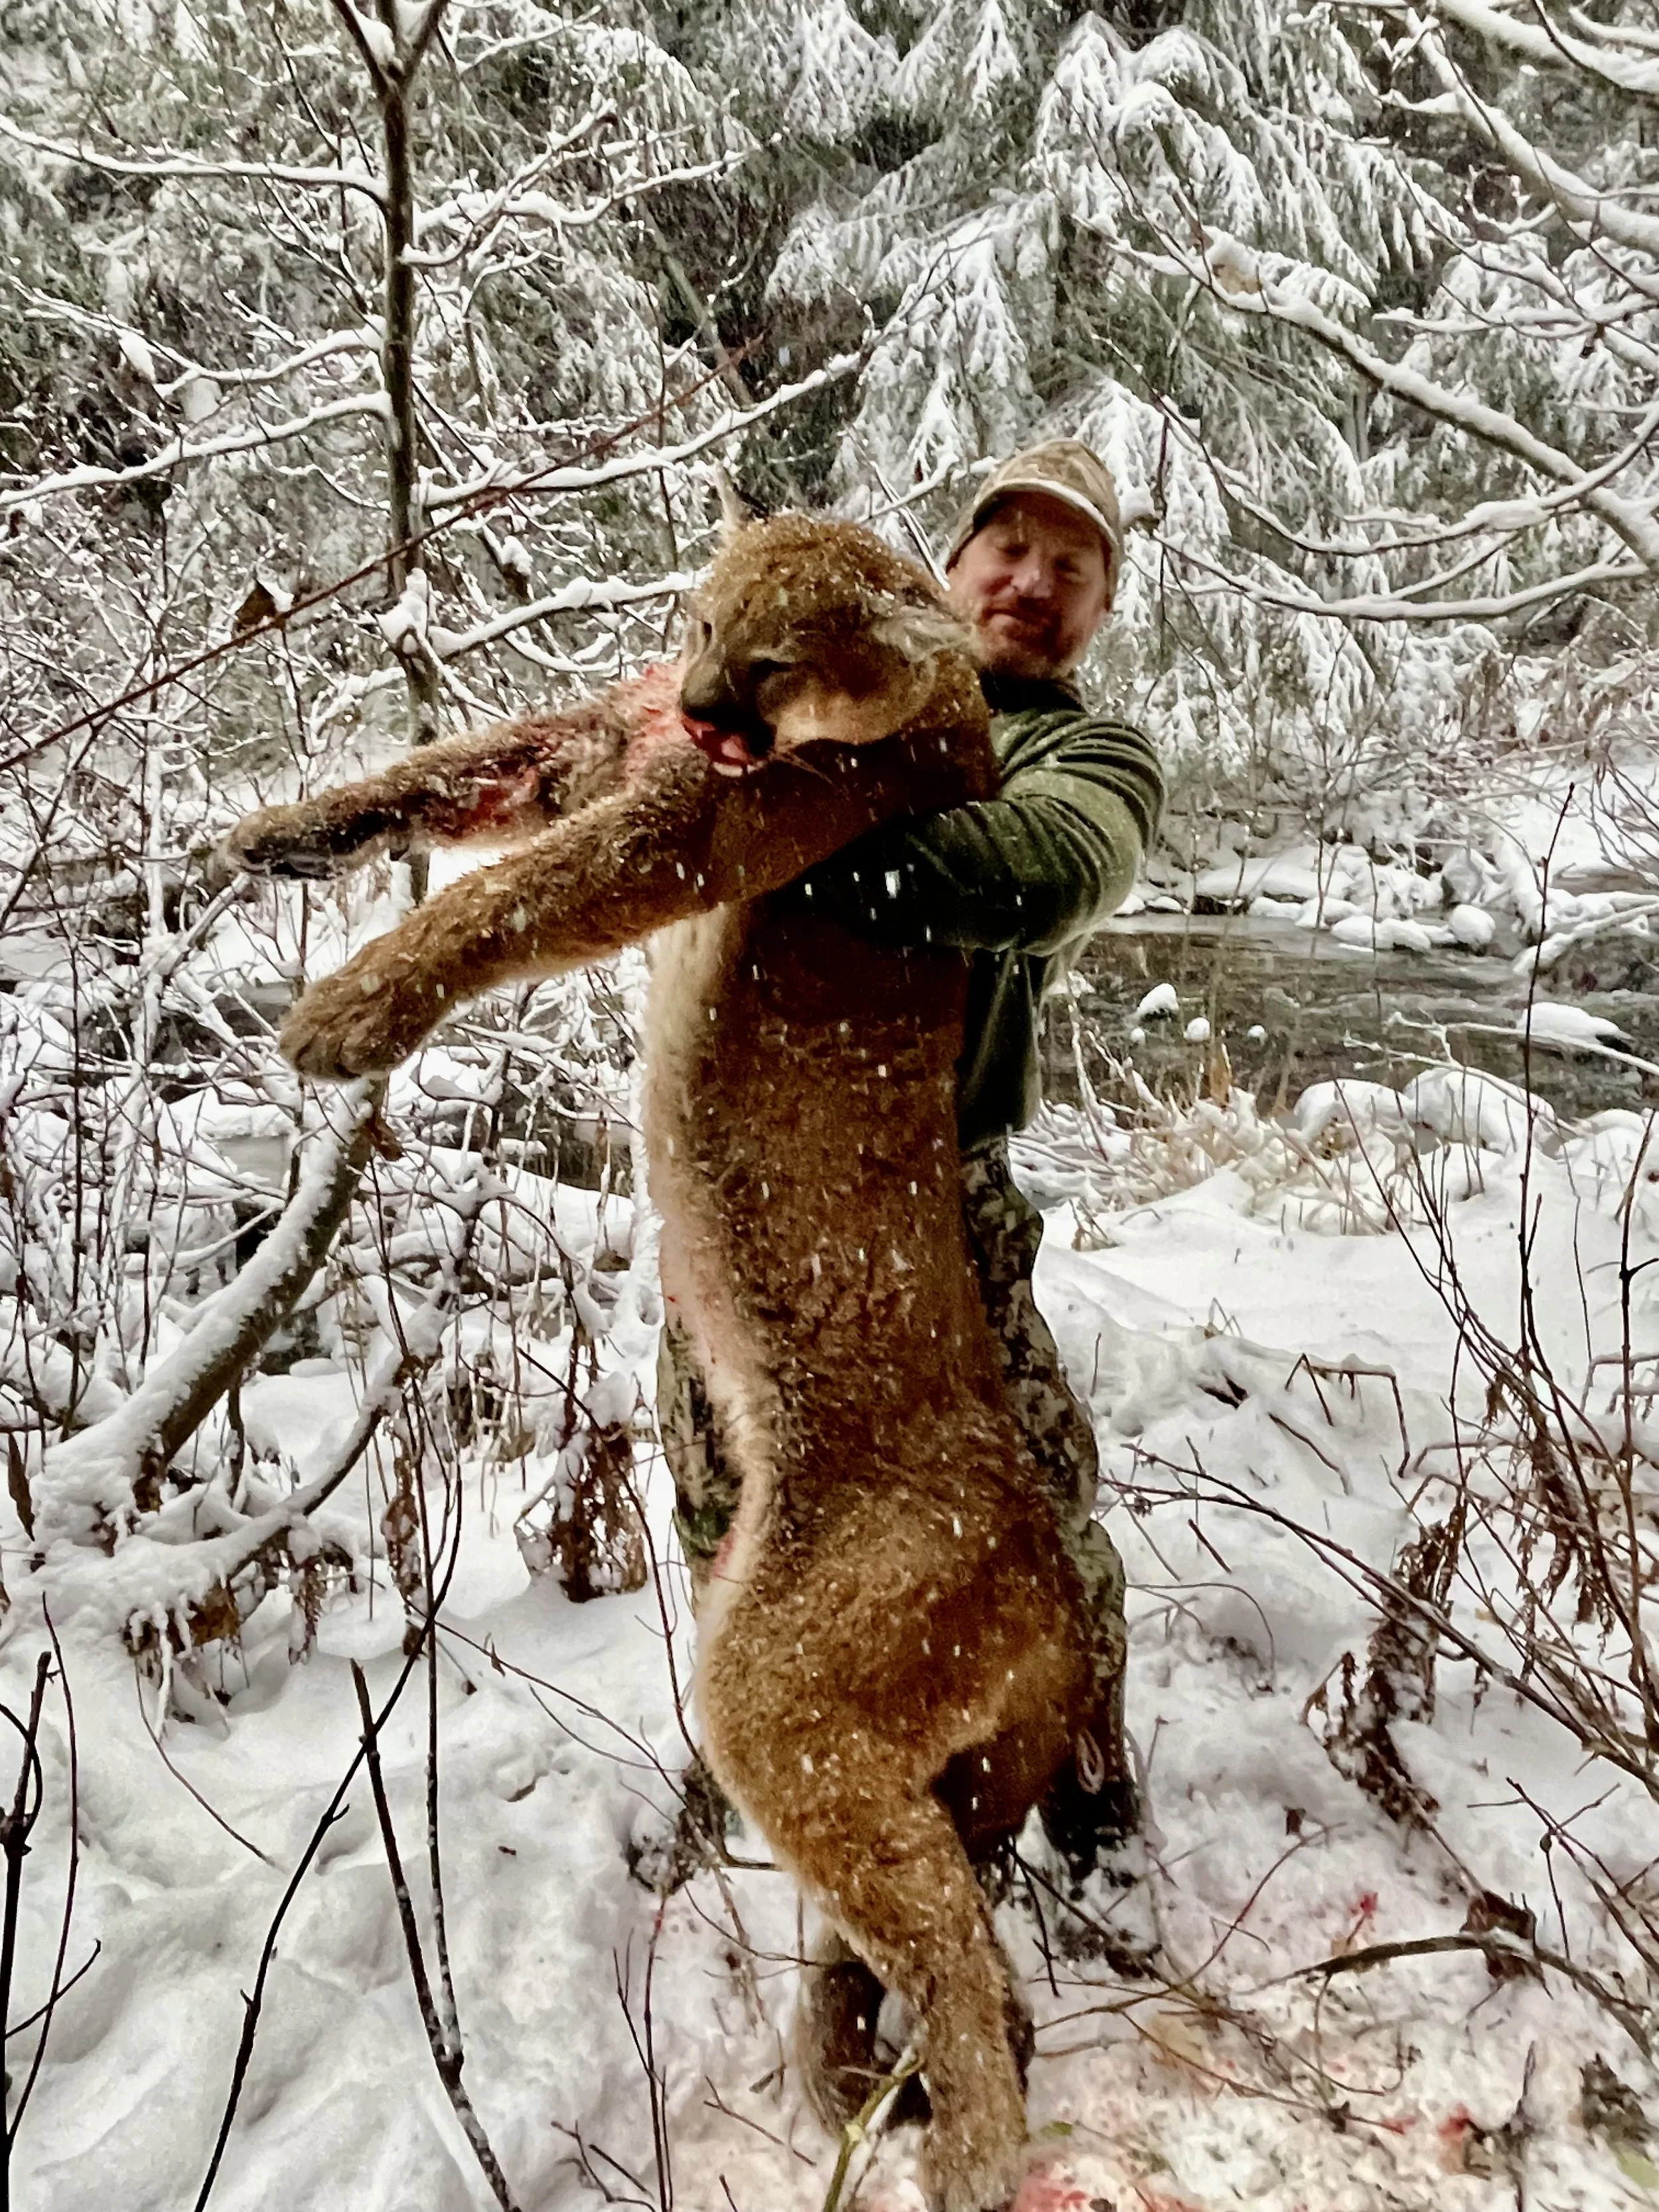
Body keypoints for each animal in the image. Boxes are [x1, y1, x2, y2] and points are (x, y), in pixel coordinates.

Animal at [222, 515, 1095, 2212]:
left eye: (771, 656)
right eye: (693, 621)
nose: (701, 701)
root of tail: (1045, 1574)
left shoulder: (701, 827)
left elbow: (511, 897)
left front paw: (344, 1015)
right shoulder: (618, 748)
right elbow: (463, 765)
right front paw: (285, 830)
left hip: (781, 1695)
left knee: (963, 1968)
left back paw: (960, 2154)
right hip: (879, 1756)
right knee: (949, 1948)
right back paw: (850, 2069)